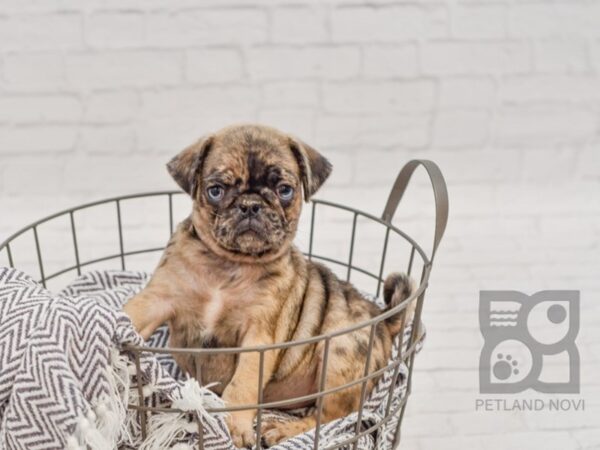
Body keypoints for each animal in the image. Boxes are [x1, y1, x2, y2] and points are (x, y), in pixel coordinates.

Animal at [124, 124, 414, 446]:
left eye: (284, 190)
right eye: (216, 190)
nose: (250, 205)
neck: (229, 265)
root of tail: (383, 319)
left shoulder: (259, 336)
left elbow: (242, 385)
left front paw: (234, 426)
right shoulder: (159, 298)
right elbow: (131, 314)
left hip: (339, 356)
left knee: (330, 418)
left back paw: (280, 430)